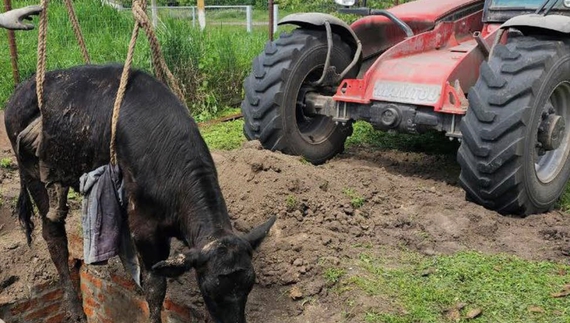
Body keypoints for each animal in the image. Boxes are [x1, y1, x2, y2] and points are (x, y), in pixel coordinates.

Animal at [2, 64, 272, 322]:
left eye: (249, 286)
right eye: (208, 291)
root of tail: (20, 89)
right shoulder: (146, 228)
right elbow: (155, 287)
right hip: (31, 172)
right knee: (54, 234)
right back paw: (74, 308)